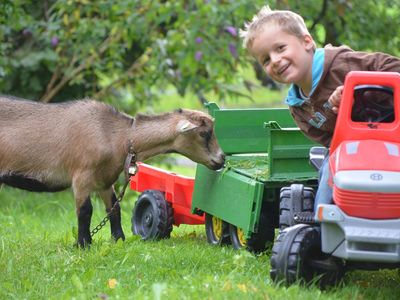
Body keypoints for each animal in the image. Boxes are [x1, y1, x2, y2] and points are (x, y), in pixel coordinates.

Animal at [0, 97, 225, 247]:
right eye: (204, 133)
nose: (221, 159)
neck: (117, 136)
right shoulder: (81, 178)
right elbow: (85, 211)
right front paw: (83, 244)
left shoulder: (105, 181)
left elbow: (114, 209)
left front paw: (118, 239)